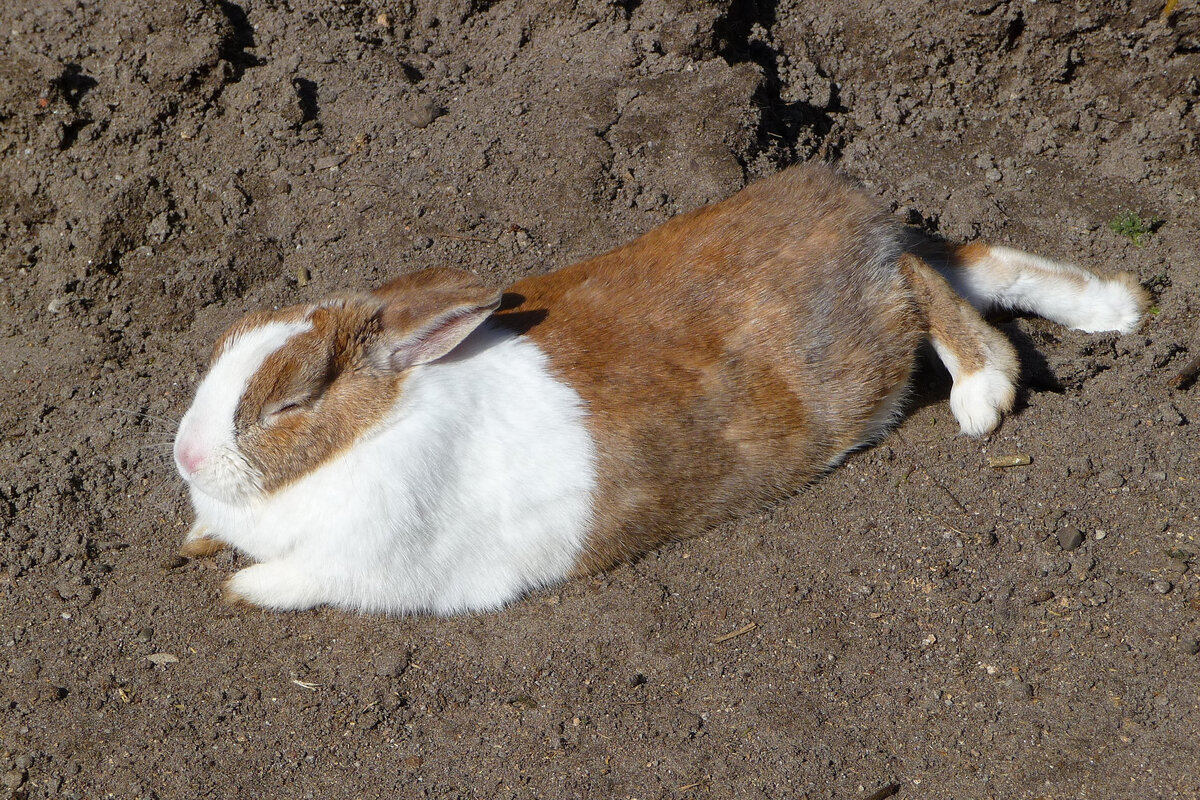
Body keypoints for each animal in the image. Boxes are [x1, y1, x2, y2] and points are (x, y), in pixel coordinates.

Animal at [171, 160, 1142, 614]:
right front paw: (194, 541)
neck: (374, 424)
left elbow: (293, 578)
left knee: (927, 279)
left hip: (873, 335)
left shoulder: (369, 564)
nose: (186, 456)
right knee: (964, 260)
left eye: (290, 405)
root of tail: (851, 209)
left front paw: (236, 588)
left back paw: (985, 394)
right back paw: (1118, 306)